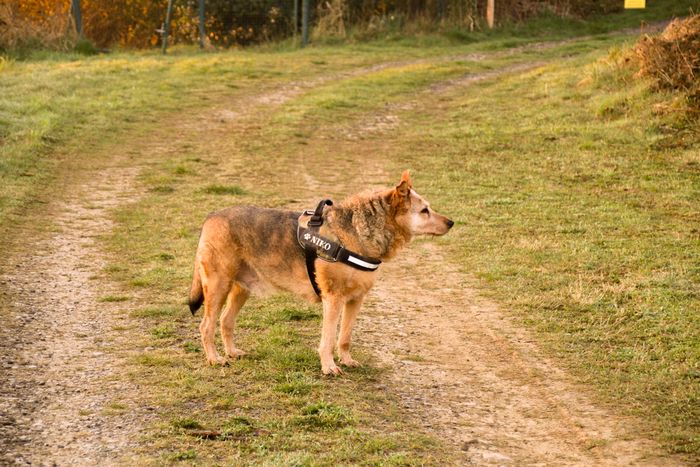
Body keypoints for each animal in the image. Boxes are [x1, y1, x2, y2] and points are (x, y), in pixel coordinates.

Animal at [189, 172, 456, 376]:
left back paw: (232, 352)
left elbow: (344, 337)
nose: (451, 222)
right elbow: (328, 340)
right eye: (424, 210)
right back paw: (215, 358)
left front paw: (346, 361)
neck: (355, 234)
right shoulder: (333, 299)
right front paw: (329, 367)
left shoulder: (356, 300)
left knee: (225, 321)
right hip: (218, 286)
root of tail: (210, 217)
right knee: (206, 325)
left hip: (241, 289)